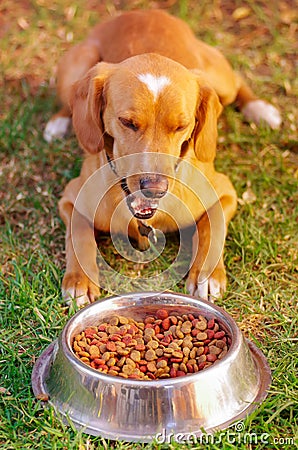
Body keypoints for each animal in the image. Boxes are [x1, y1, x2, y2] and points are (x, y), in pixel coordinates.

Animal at [44, 8, 282, 306]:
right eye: (127, 122)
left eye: (181, 126)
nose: (155, 189)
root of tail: (145, 10)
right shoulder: (71, 197)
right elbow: (79, 234)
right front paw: (80, 279)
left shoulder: (225, 192)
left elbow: (212, 227)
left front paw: (206, 274)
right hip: (79, 64)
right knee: (69, 100)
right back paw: (59, 122)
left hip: (219, 80)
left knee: (238, 82)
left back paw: (261, 109)